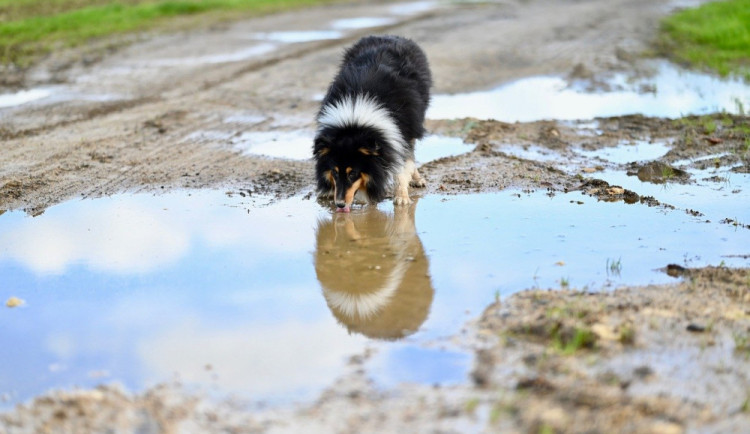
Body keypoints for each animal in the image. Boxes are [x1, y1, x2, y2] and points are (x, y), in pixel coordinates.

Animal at [312, 36, 432, 214]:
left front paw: (401, 198)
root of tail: (390, 36)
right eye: (334, 172)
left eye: (353, 174)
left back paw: (417, 180)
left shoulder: (402, 131)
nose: (339, 205)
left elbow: (402, 165)